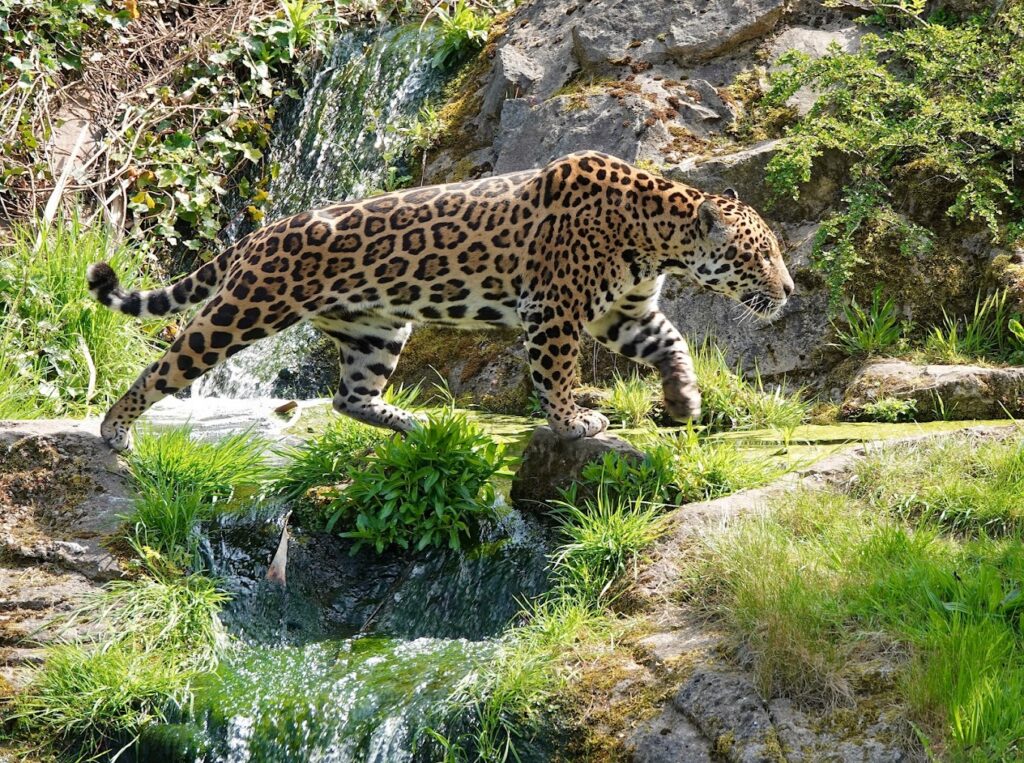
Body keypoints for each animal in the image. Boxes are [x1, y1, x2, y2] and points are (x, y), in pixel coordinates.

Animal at [88, 150, 794, 451]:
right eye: (761, 254)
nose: (789, 289)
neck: (655, 236)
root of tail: (262, 232)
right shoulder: (555, 312)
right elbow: (557, 375)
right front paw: (574, 423)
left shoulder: (625, 313)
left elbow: (673, 345)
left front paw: (683, 401)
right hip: (248, 308)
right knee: (165, 365)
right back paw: (115, 430)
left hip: (377, 329)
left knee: (350, 397)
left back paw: (415, 424)